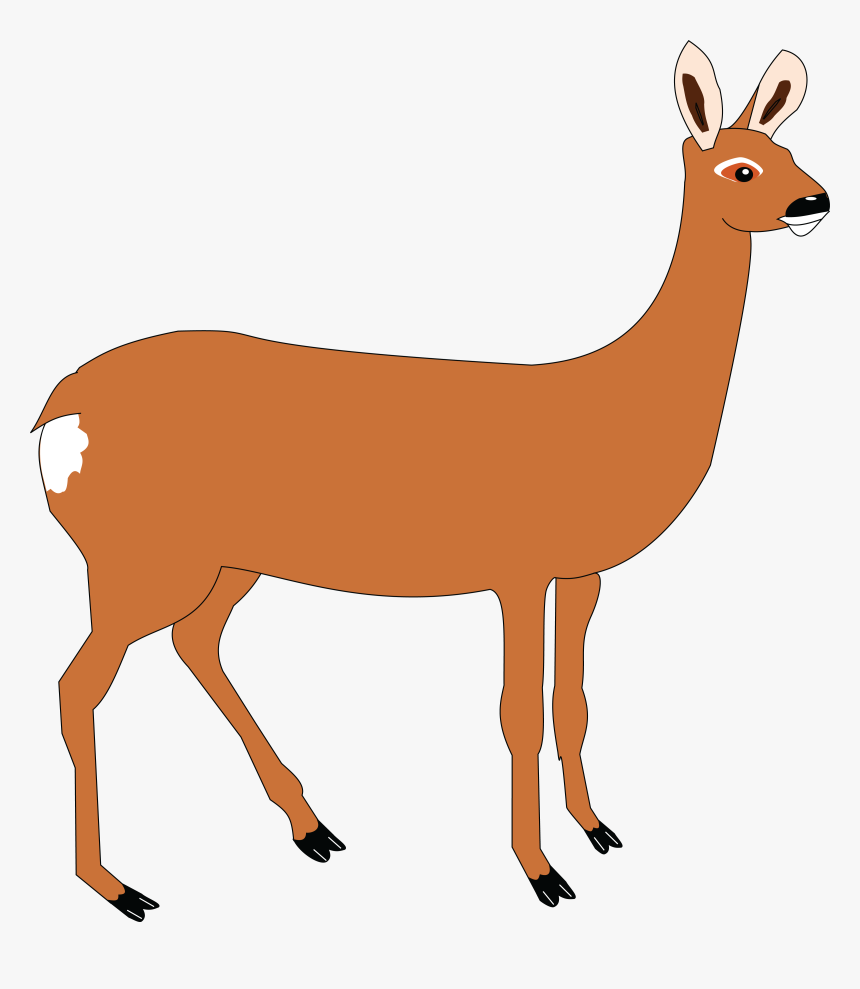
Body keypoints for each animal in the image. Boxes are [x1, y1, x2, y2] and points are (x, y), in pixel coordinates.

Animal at [34, 42, 829, 920]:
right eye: (742, 168)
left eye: (791, 150)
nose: (815, 199)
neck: (613, 402)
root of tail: (54, 414)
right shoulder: (518, 569)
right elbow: (519, 713)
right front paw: (542, 873)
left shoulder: (581, 571)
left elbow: (574, 702)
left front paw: (596, 829)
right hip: (138, 560)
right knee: (78, 685)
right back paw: (119, 886)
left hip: (223, 561)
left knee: (194, 643)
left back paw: (313, 827)